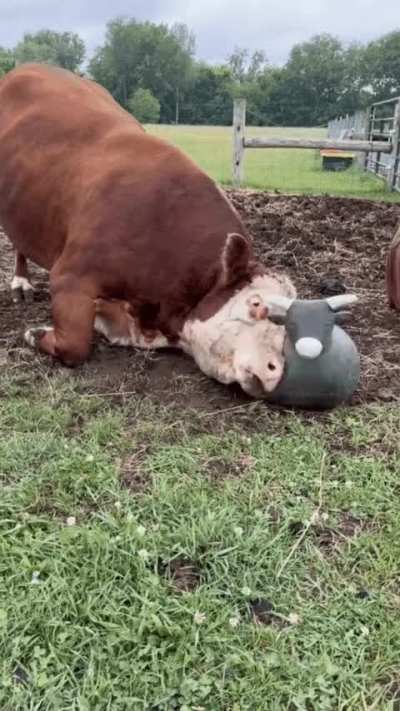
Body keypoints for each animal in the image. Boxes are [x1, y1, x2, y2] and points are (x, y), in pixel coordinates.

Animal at [0, 63, 296, 398]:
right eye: (254, 304)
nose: (275, 372)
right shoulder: (69, 274)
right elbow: (75, 345)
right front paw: (36, 334)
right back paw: (21, 282)